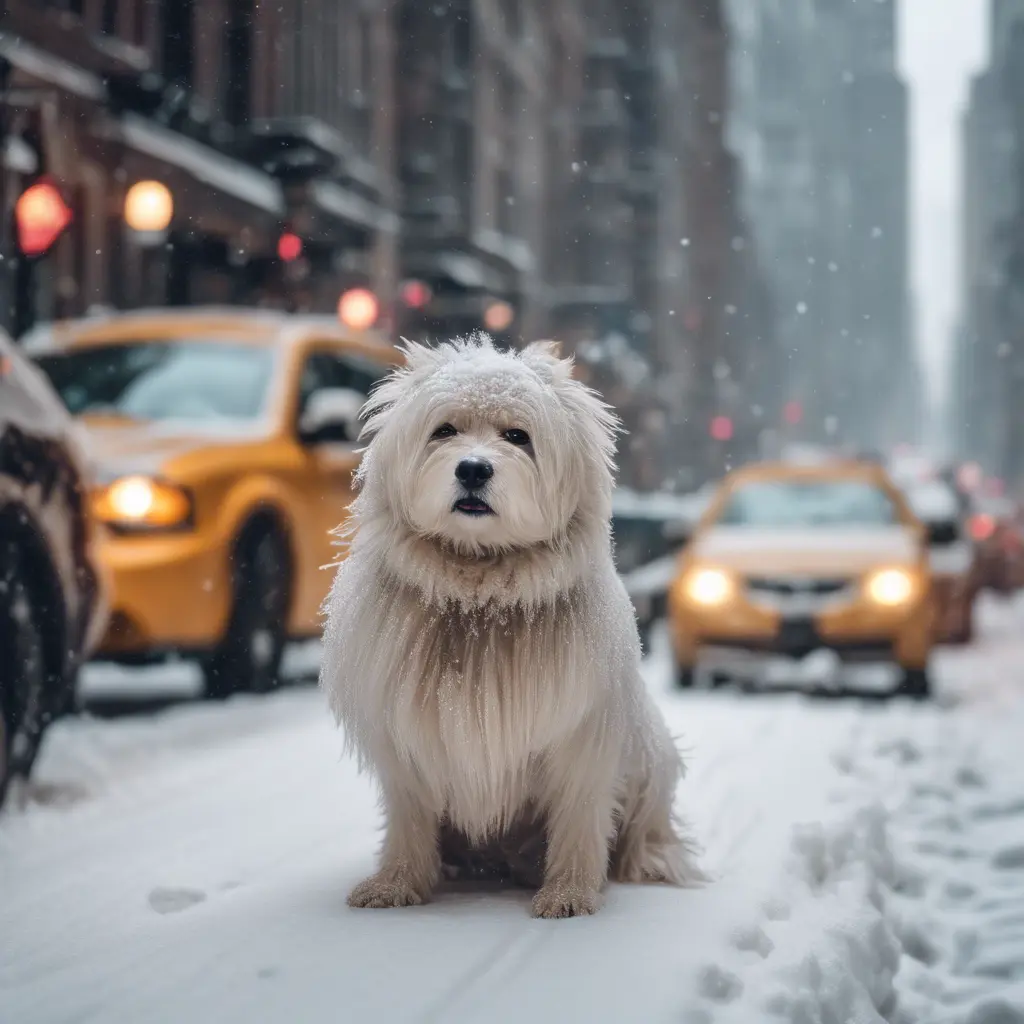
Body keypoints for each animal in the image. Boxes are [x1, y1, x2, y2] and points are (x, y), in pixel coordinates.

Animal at [321, 335, 704, 921]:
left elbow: (578, 817)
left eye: (518, 436)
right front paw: (395, 883)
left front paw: (569, 895)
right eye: (444, 431)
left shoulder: (580, 735)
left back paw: (643, 861)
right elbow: (409, 817)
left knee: (645, 829)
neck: (479, 598)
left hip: (649, 758)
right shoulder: (407, 739)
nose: (474, 470)